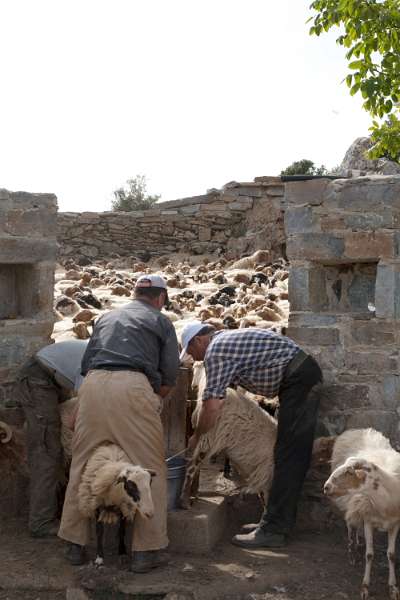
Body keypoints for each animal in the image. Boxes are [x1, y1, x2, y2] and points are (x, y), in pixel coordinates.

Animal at [324, 426, 400, 600]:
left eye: (349, 471)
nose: (326, 486)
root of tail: (357, 429)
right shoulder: (368, 521)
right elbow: (369, 555)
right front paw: (365, 587)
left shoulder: (395, 524)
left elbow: (391, 555)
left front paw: (393, 587)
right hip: (349, 503)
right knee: (351, 526)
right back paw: (352, 552)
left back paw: (358, 546)